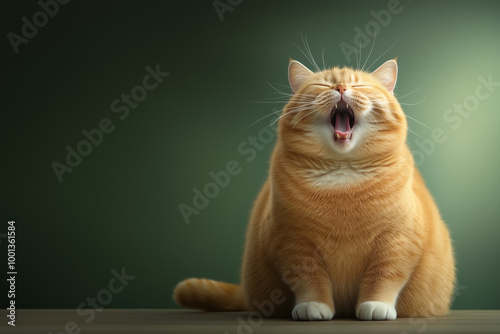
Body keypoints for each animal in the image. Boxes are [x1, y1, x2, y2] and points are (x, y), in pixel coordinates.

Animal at [174, 58, 456, 320]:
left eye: (359, 85)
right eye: (323, 85)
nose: (341, 87)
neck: (343, 176)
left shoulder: (398, 239)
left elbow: (385, 274)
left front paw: (376, 305)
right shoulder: (292, 241)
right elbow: (309, 278)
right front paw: (313, 306)